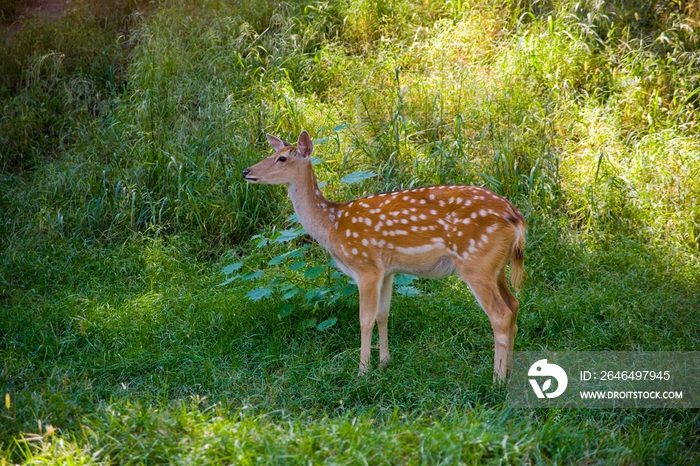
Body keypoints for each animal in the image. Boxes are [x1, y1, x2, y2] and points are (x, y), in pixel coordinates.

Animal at [245, 129, 524, 380]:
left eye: (282, 158)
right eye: (273, 153)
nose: (246, 171)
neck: (332, 225)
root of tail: (516, 218)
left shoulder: (366, 266)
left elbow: (365, 319)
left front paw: (362, 372)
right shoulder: (388, 271)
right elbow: (383, 315)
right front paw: (384, 364)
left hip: (475, 262)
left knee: (500, 314)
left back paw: (497, 380)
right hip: (495, 266)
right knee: (514, 304)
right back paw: (510, 372)